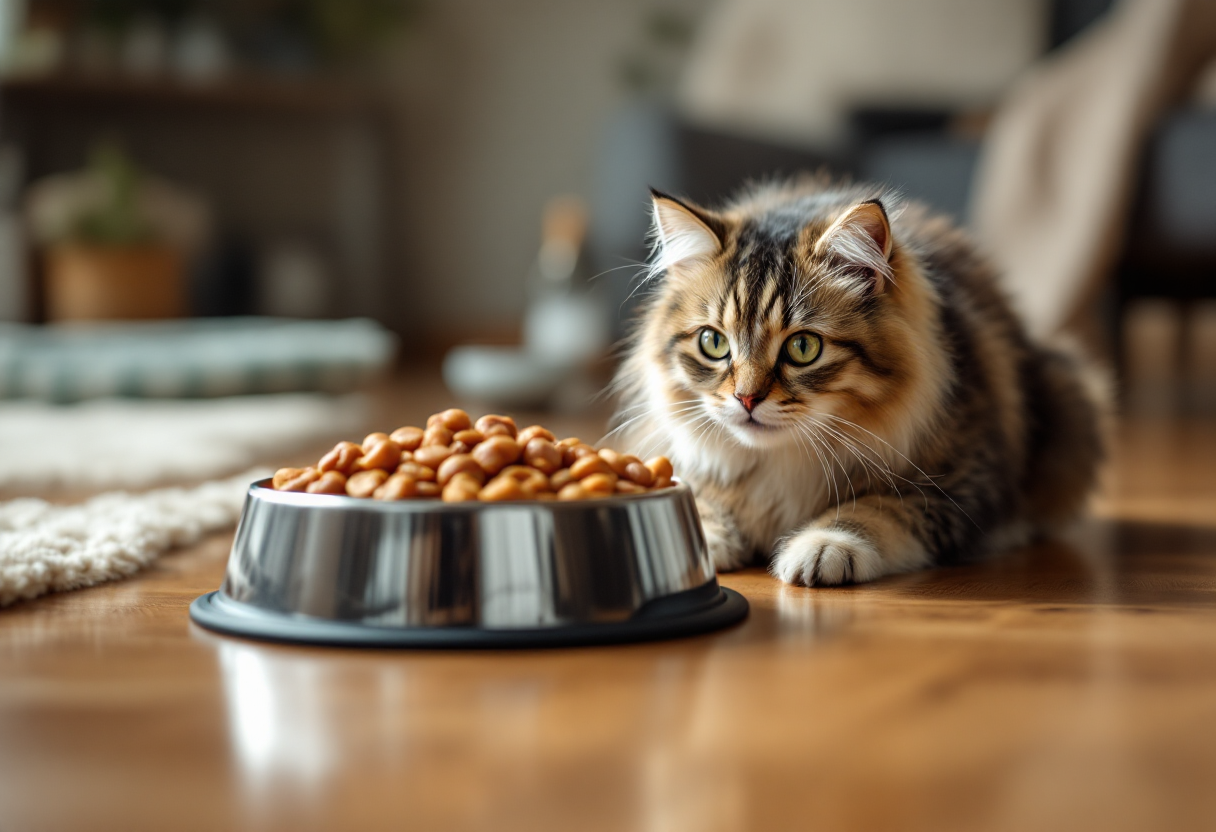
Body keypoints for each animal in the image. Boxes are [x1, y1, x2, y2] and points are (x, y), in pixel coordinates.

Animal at [608, 177, 1104, 583]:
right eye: (713, 342)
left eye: (803, 348)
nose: (746, 399)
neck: (785, 461)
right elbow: (698, 498)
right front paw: (699, 540)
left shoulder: (959, 486)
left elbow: (874, 510)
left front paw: (821, 547)